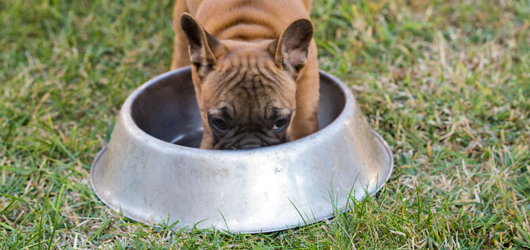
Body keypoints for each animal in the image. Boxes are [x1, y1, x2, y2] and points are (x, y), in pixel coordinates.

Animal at [170, 0, 318, 148]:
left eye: (280, 122)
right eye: (219, 123)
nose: (250, 146)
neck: (247, 34)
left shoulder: (308, 73)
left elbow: (304, 117)